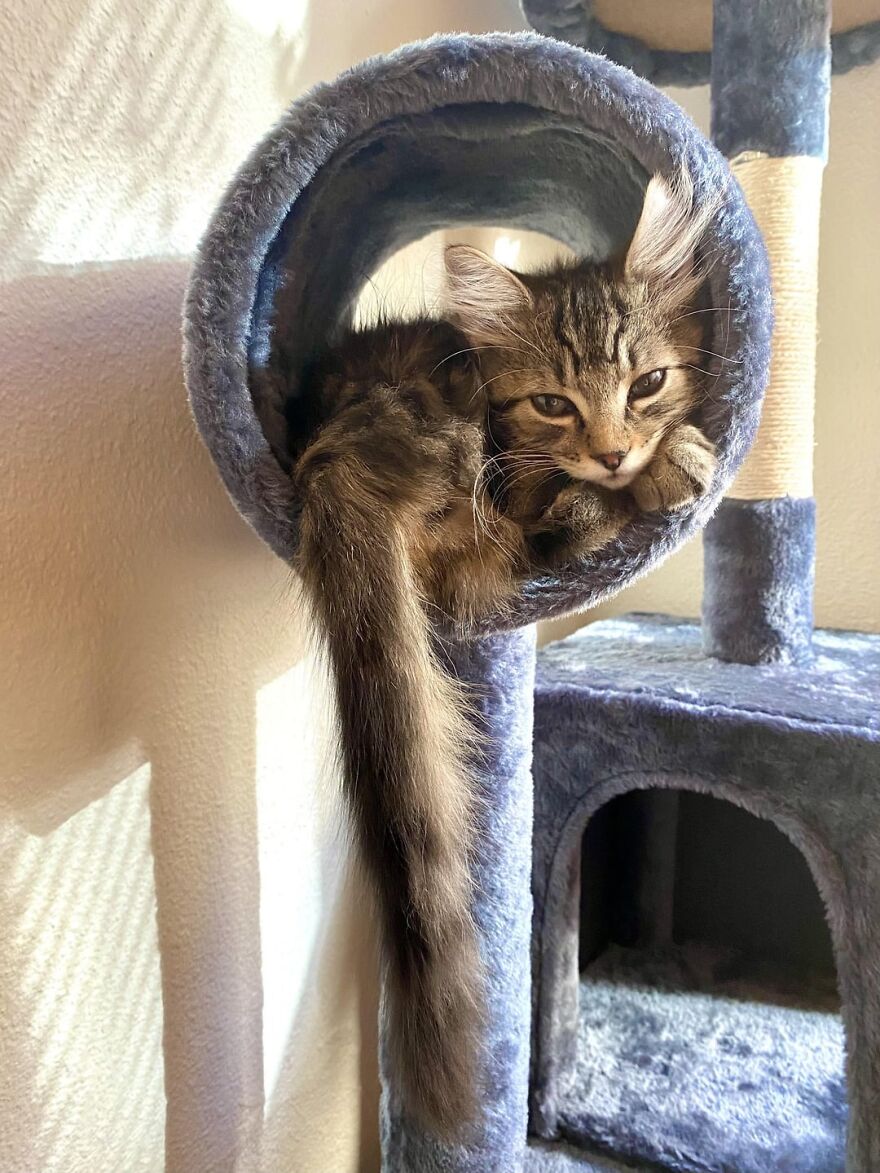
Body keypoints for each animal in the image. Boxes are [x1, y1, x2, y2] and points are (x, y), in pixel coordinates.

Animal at [290, 171, 722, 1135]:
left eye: (648, 382)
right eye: (553, 404)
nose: (613, 451)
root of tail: (341, 450)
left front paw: (661, 453)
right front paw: (671, 464)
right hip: (476, 485)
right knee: (536, 542)